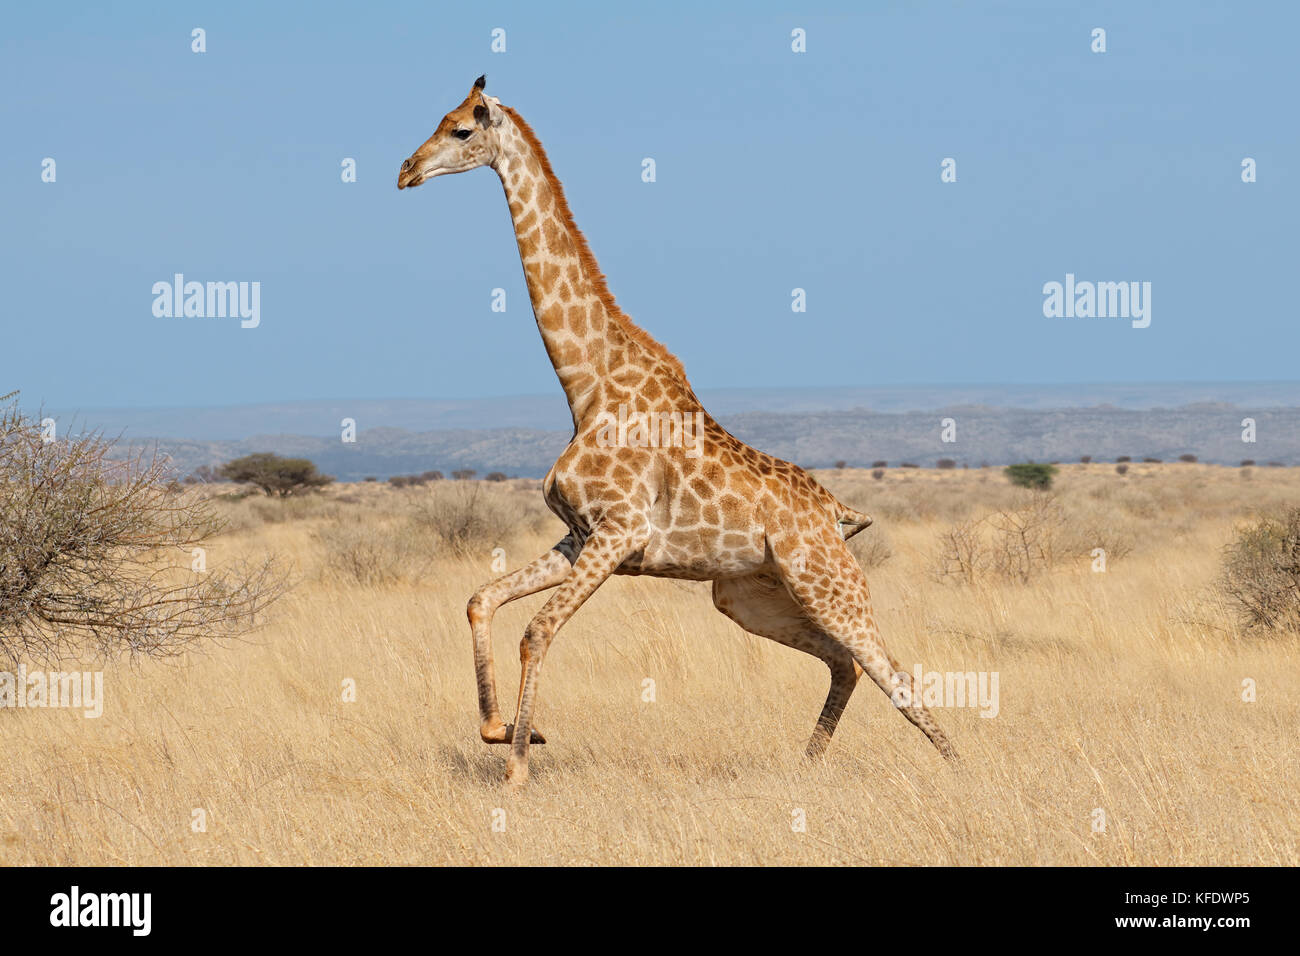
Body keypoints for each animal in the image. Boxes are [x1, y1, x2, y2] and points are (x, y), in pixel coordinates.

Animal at [395, 78, 956, 790]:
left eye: (462, 130)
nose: (405, 171)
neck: (586, 384)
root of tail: (836, 511)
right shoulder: (582, 535)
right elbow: (480, 598)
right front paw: (501, 731)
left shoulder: (619, 532)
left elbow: (537, 632)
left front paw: (518, 767)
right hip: (747, 596)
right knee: (844, 664)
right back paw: (804, 770)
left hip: (829, 585)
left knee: (901, 682)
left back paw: (962, 776)